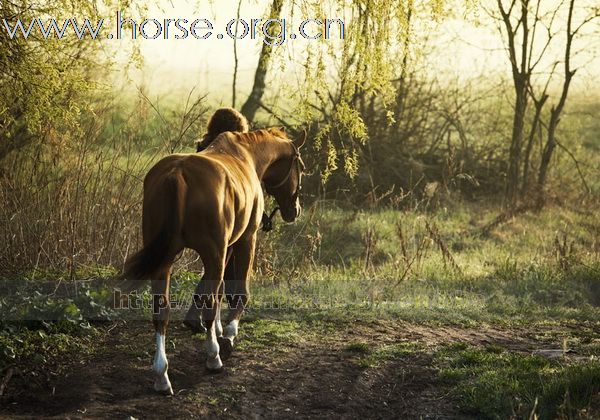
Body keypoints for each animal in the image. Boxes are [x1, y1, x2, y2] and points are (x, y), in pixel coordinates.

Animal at [120, 125, 304, 394]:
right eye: (301, 166)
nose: (295, 210)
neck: (246, 156)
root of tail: (177, 174)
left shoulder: (225, 247)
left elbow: (219, 289)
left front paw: (217, 330)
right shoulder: (243, 241)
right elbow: (237, 292)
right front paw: (227, 334)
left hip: (167, 261)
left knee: (162, 309)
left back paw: (162, 375)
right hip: (212, 251)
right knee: (208, 301)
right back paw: (213, 357)